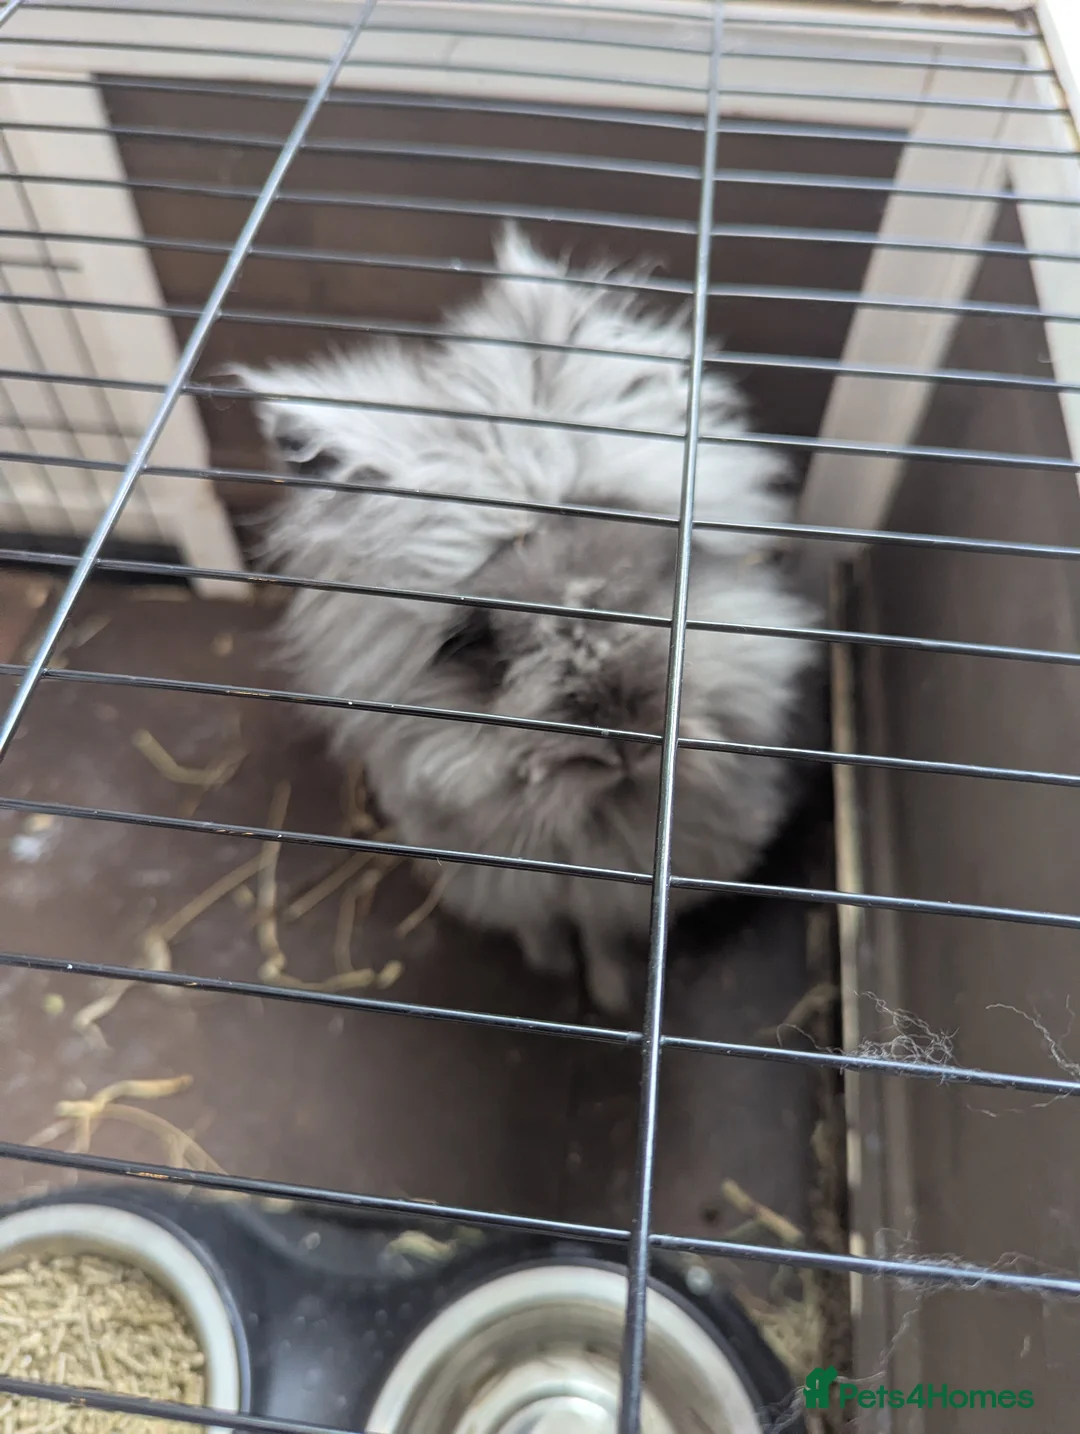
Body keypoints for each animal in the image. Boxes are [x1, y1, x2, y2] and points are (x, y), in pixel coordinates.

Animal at [236, 223, 822, 1016]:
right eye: (472, 640)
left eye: (658, 567)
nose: (625, 738)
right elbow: (544, 928)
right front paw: (552, 970)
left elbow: (603, 942)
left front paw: (610, 996)